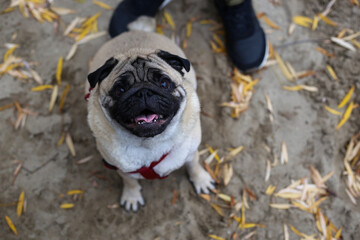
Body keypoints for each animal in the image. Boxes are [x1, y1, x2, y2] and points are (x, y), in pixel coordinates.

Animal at [86, 18, 214, 211]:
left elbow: (194, 165)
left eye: (164, 83)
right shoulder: (121, 169)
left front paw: (201, 180)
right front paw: (132, 196)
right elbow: (130, 182)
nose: (143, 92)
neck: (150, 143)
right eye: (120, 89)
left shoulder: (191, 152)